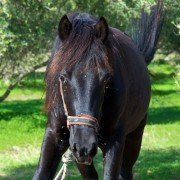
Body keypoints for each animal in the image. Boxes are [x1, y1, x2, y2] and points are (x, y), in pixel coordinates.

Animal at [33, 0, 163, 179]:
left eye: (106, 78)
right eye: (62, 77)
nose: (85, 144)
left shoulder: (115, 140)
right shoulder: (55, 136)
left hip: (134, 138)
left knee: (125, 172)